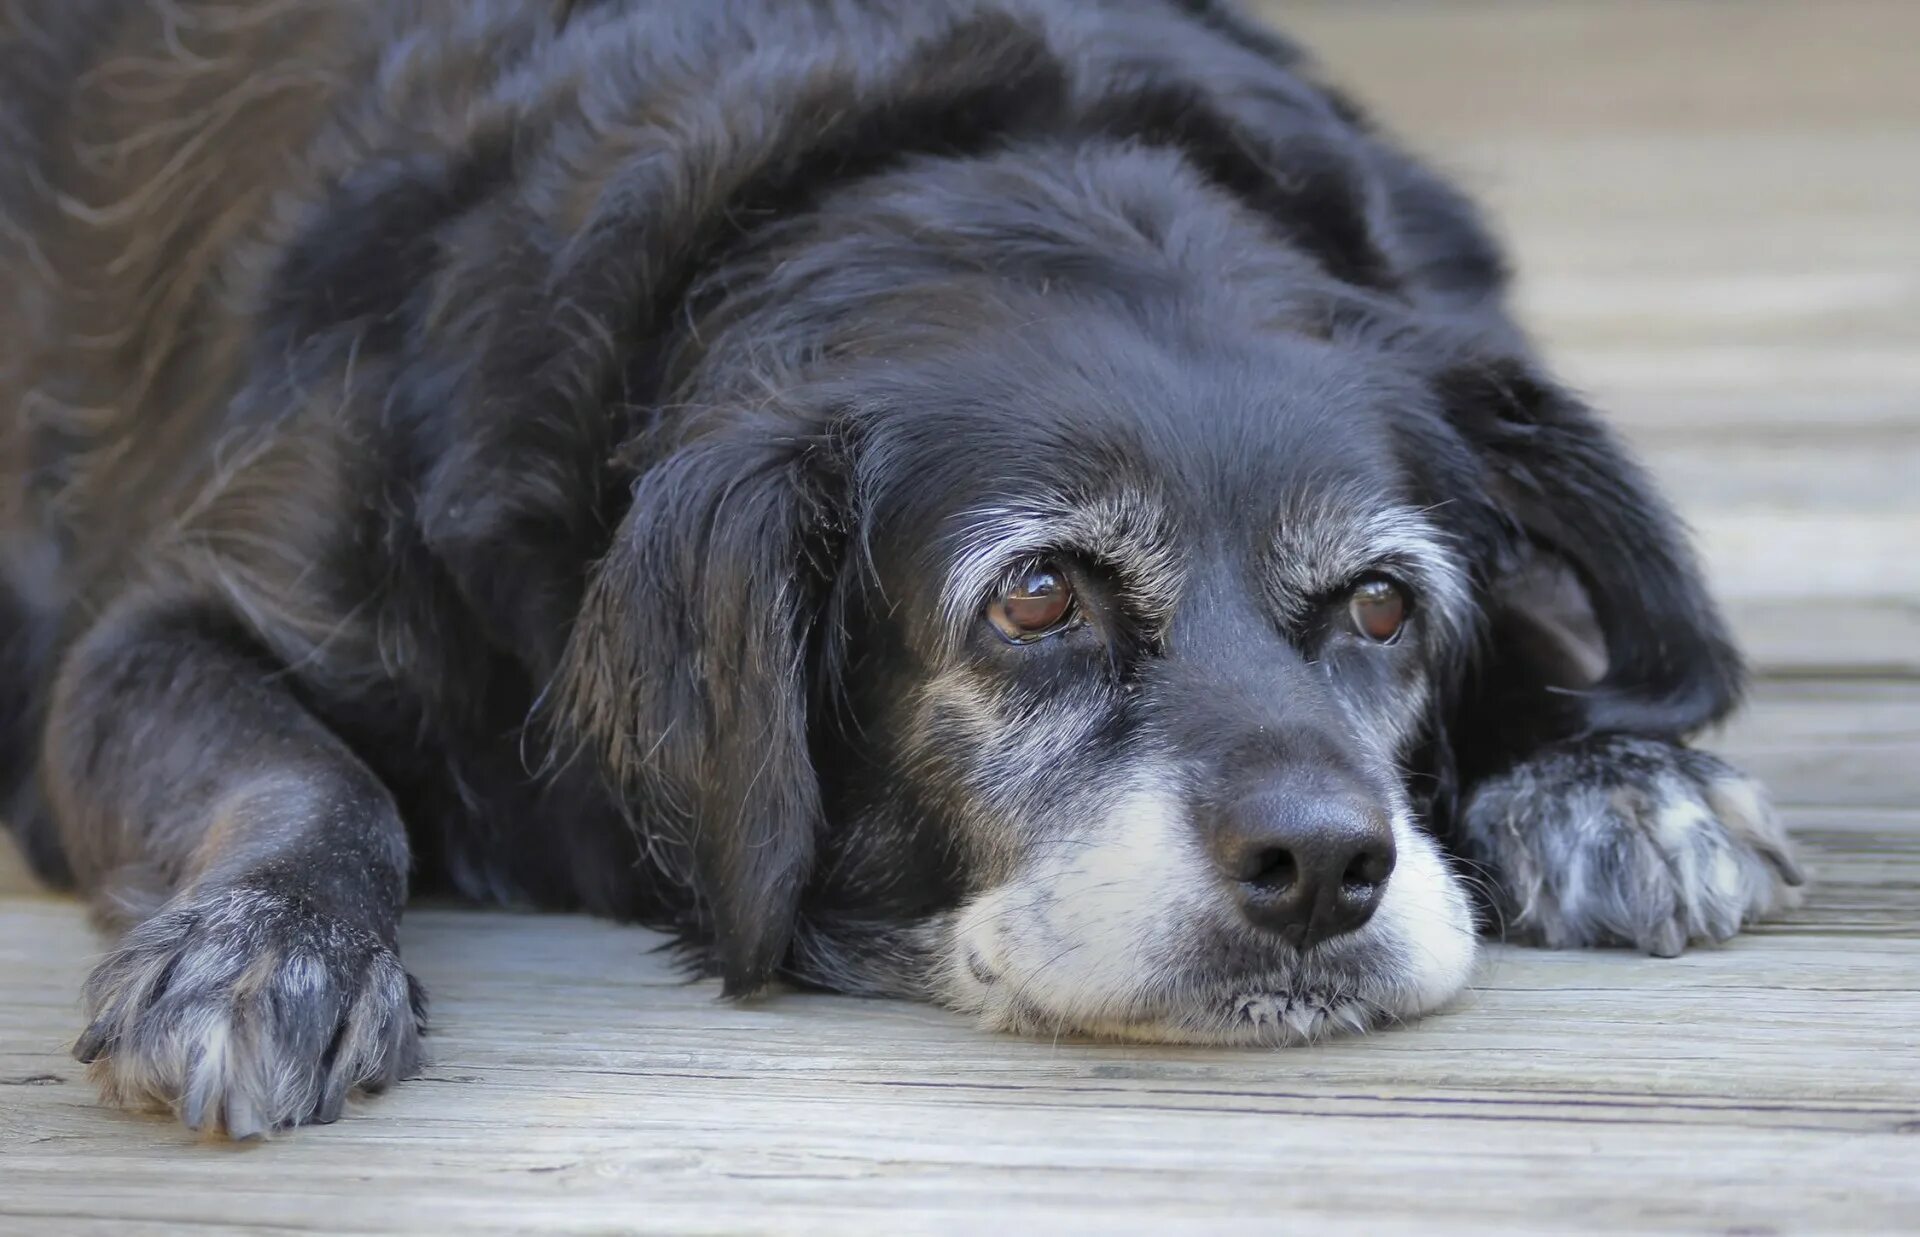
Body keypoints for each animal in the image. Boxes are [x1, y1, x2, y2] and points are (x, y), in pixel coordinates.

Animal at [0, 0, 1797, 1137]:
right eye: (1039, 595)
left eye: (1382, 605)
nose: (1324, 868)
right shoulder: (156, 632)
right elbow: (310, 773)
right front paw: (269, 944)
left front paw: (1606, 771)